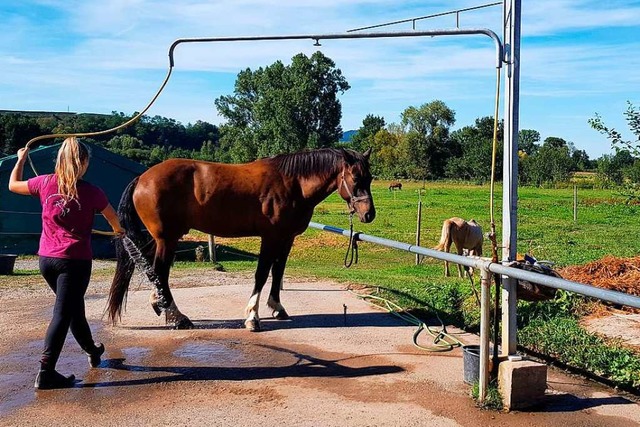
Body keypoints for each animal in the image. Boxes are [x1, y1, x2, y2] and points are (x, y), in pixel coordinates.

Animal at [105, 147, 376, 332]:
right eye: (355, 179)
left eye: (370, 178)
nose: (368, 214)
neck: (292, 184)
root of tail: (142, 178)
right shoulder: (270, 237)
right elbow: (262, 274)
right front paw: (252, 317)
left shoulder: (286, 239)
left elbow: (278, 272)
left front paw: (277, 308)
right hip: (167, 239)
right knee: (159, 271)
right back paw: (177, 317)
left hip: (163, 239)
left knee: (153, 269)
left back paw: (159, 303)